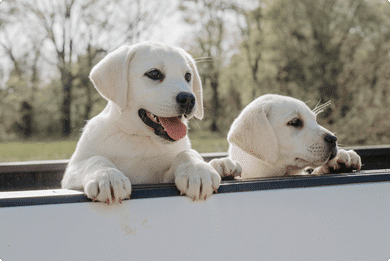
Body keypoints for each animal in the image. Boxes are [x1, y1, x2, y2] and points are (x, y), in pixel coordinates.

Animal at [61, 41, 241, 202]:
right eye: (154, 74)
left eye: (188, 76)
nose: (189, 99)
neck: (140, 139)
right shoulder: (70, 175)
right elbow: (94, 160)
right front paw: (107, 177)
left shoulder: (162, 177)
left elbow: (187, 153)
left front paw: (197, 170)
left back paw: (223, 165)